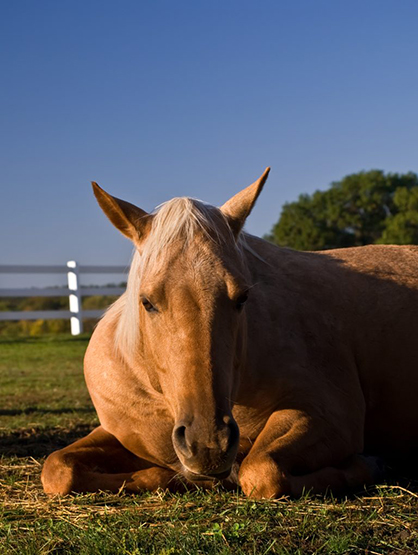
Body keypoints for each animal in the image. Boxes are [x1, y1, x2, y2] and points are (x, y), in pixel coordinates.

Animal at [40, 167, 418, 498]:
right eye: (146, 301)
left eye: (243, 297)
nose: (208, 444)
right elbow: (58, 469)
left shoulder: (331, 417)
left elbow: (261, 471)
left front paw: (369, 464)